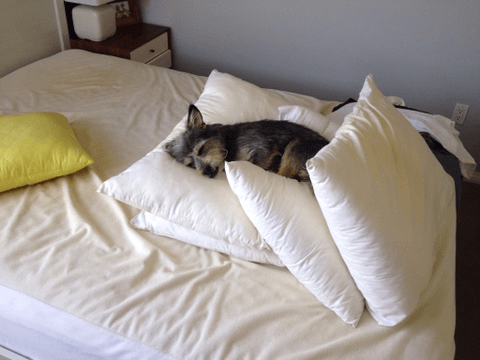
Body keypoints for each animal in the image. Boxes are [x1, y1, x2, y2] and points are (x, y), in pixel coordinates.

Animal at [166, 105, 330, 181]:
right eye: (190, 165)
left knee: (284, 175)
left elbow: (256, 164)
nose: (206, 173)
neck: (229, 142)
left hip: (294, 146)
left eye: (201, 149)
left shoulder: (265, 149)